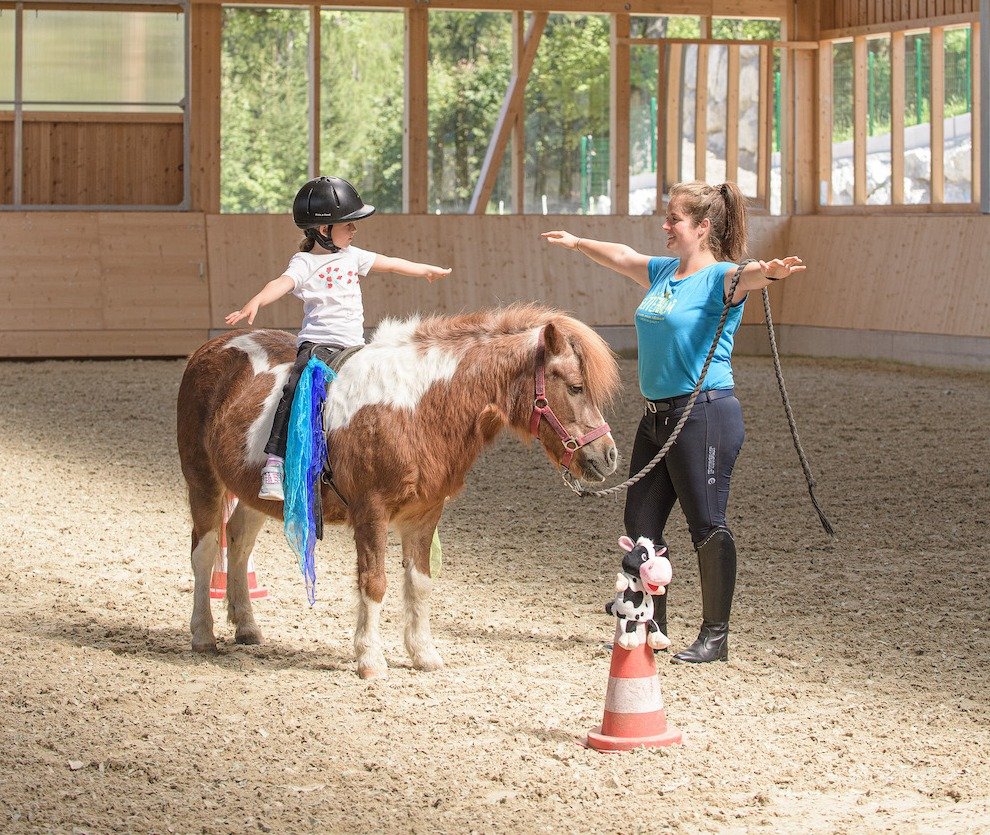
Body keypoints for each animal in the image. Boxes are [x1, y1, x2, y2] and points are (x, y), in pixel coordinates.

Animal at [176, 303, 621, 678]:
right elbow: (374, 581)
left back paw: (246, 626)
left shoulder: (425, 513)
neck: (416, 407)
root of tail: (208, 349)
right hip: (202, 480)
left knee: (238, 540)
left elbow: (419, 582)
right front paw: (370, 660)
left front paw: (424, 654)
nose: (608, 455)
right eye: (576, 387)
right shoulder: (371, 512)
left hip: (256, 493)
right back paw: (203, 634)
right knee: (205, 550)